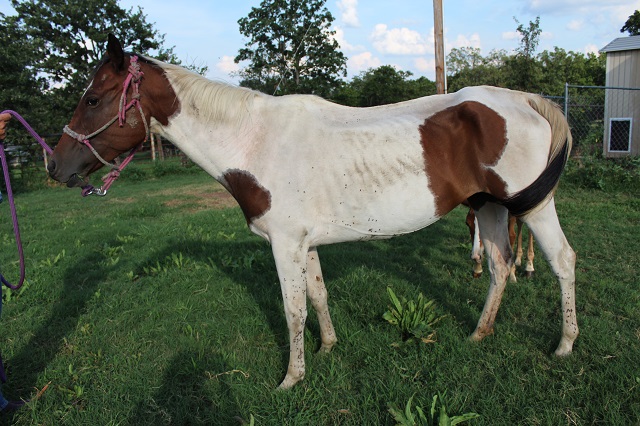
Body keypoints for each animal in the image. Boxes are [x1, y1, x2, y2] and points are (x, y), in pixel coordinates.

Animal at [47, 35, 576, 390]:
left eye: (93, 98)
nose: (56, 167)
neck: (254, 140)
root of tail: (523, 99)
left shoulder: (284, 244)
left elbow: (292, 309)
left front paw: (291, 379)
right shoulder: (306, 243)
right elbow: (318, 297)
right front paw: (328, 348)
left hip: (532, 205)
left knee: (562, 261)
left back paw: (565, 345)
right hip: (489, 207)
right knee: (500, 268)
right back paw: (479, 335)